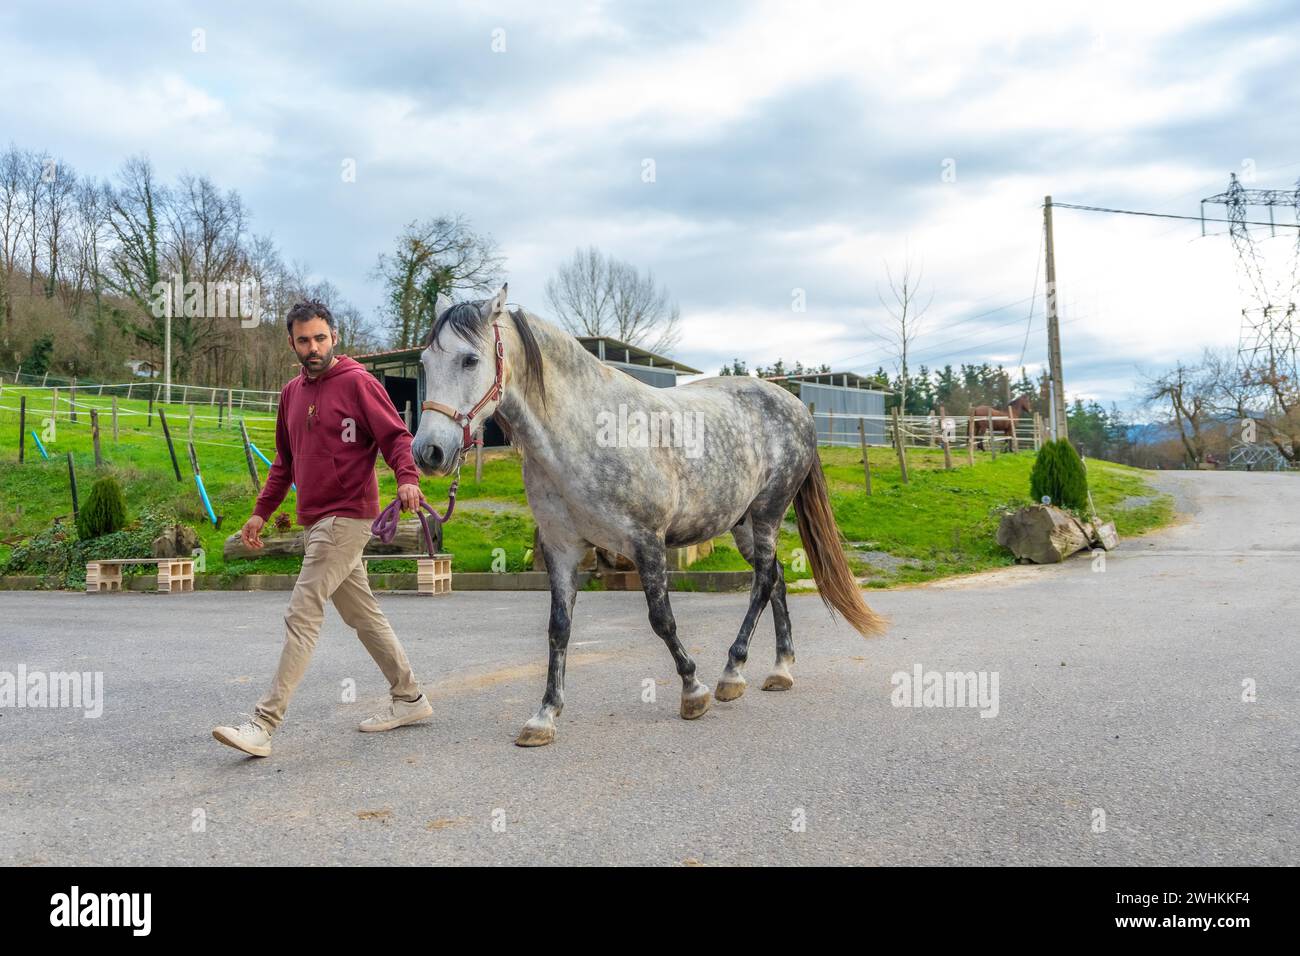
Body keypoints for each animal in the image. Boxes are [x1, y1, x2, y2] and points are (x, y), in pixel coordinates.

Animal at [410, 283, 889, 749]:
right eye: (425, 361)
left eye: (471, 359)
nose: (428, 452)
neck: (585, 434)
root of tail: (795, 406)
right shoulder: (561, 547)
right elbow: (559, 628)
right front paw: (544, 716)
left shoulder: (646, 541)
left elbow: (662, 619)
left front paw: (693, 691)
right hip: (744, 525)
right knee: (776, 579)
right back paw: (779, 668)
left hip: (768, 513)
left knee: (763, 583)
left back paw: (732, 673)